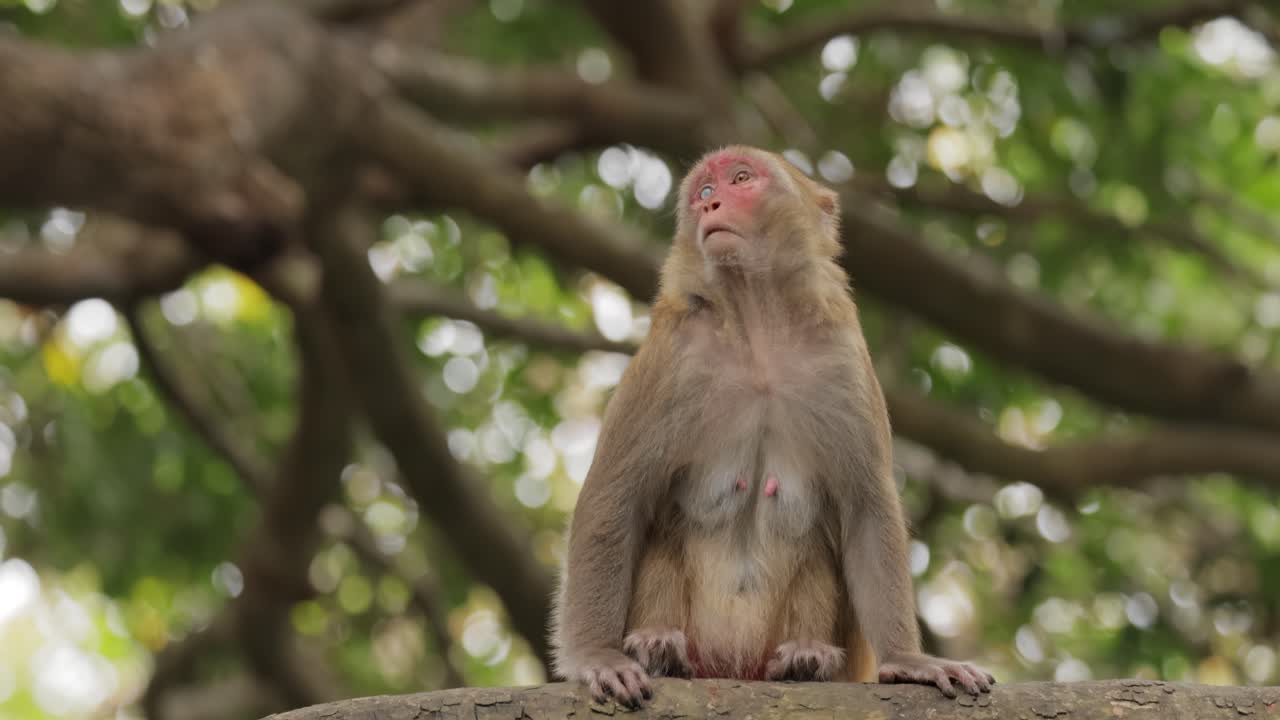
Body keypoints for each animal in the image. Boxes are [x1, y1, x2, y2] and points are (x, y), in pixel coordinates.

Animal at [548, 145, 993, 706]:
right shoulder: (669, 358)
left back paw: (806, 658)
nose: (711, 204)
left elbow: (867, 509)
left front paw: (907, 660)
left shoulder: (842, 358)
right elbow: (614, 498)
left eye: (741, 179)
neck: (756, 325)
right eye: (703, 190)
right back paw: (661, 647)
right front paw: (596, 655)